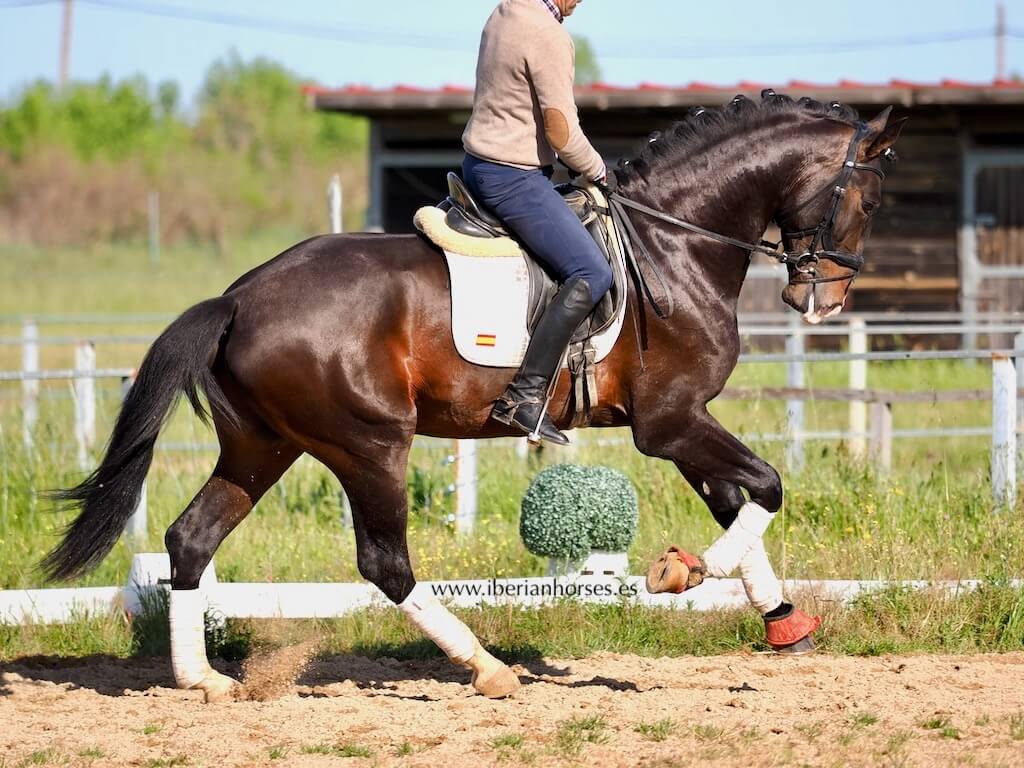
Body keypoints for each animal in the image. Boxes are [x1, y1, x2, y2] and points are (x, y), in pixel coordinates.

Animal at [42, 92, 905, 702]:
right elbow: (766, 488)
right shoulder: (668, 424)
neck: (675, 242)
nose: (822, 300)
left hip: (264, 445)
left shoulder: (681, 421)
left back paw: (204, 680)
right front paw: (682, 573)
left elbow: (739, 505)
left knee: (191, 539)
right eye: (868, 199)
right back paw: (487, 668)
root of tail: (237, 298)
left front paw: (782, 622)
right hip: (367, 444)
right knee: (385, 563)